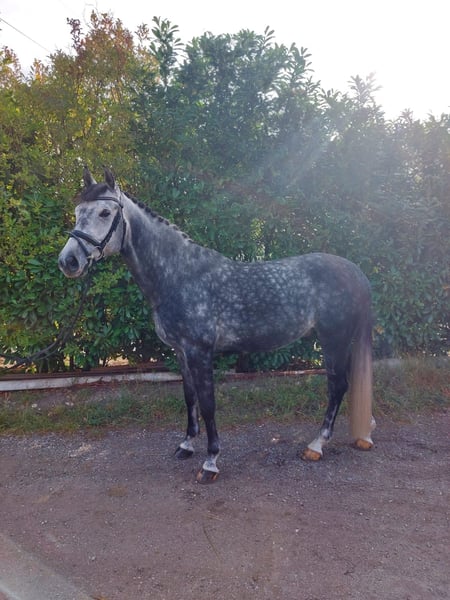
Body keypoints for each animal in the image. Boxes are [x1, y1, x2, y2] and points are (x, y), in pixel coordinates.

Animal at [58, 167, 375, 483]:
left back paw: (316, 445)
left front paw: (210, 461)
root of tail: (354, 271)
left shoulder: (200, 352)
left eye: (104, 212)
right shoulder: (181, 352)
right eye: (77, 212)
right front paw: (186, 445)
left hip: (333, 339)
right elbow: (190, 398)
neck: (179, 276)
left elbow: (208, 403)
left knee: (337, 385)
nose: (68, 261)